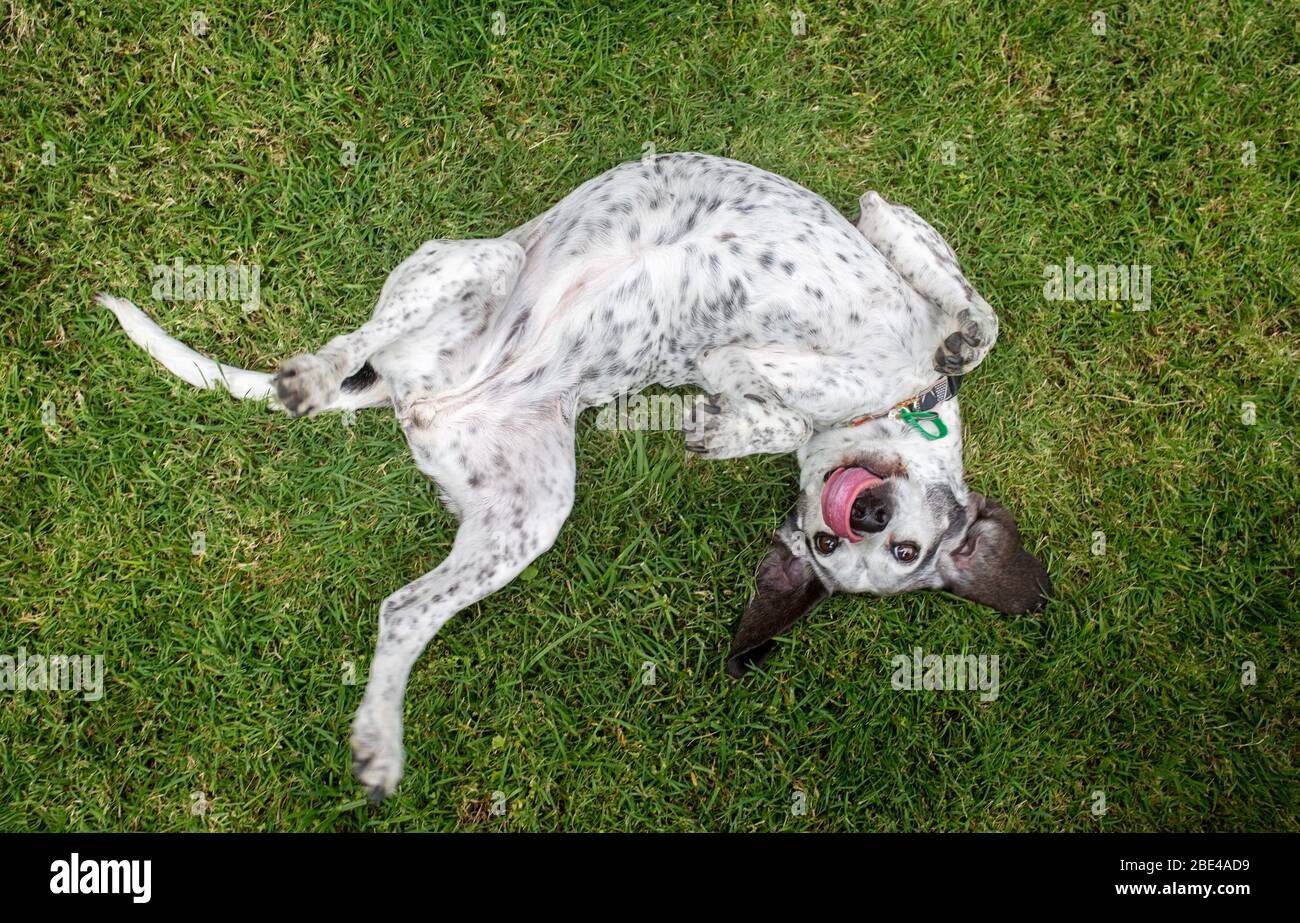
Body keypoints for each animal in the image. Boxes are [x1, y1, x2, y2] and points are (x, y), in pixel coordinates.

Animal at [104, 152, 1055, 800]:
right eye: (872, 546)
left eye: (897, 555)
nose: (861, 516)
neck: (894, 401)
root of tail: (423, 396)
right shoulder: (908, 332)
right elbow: (971, 309)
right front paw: (904, 253)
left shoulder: (754, 381)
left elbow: (767, 398)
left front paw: (727, 429)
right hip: (476, 262)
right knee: (349, 342)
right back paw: (309, 377)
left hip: (530, 519)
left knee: (403, 610)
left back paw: (379, 742)